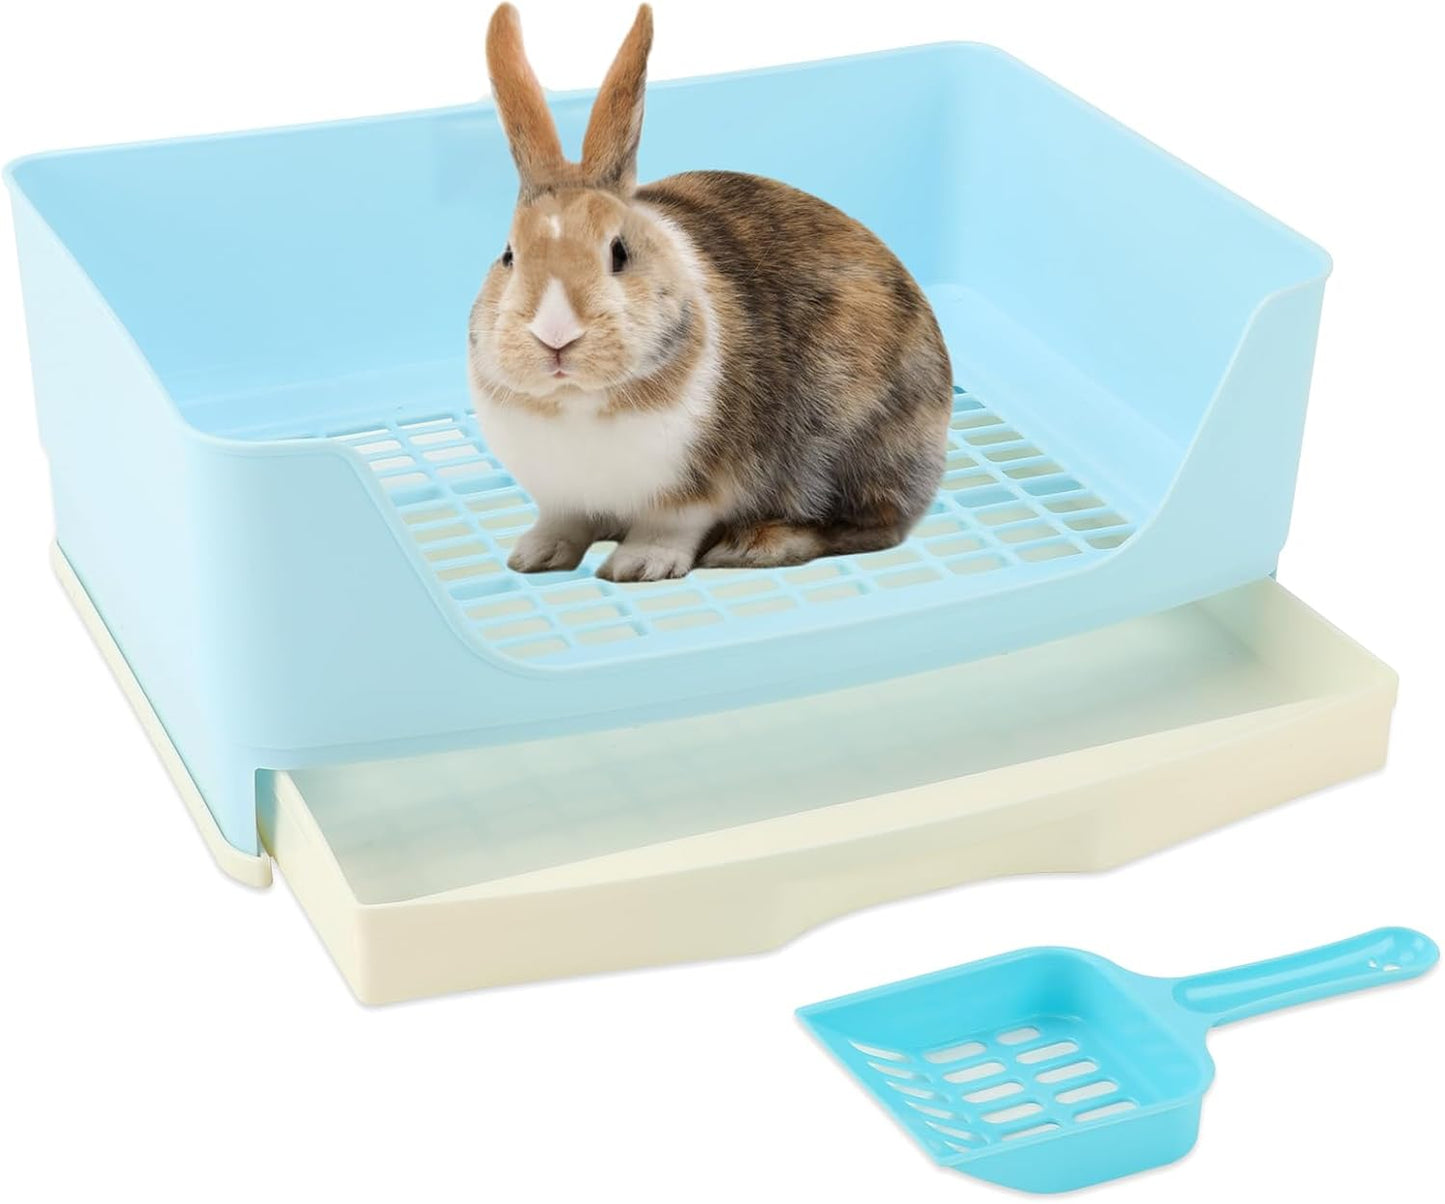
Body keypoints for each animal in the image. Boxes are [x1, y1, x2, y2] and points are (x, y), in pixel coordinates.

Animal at [468, 3, 951, 582]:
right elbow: (564, 522)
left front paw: (637, 567)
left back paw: (753, 545)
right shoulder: (563, 497)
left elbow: (669, 527)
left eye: (619, 253)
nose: (556, 335)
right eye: (509, 255)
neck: (577, 401)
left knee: (869, 527)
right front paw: (535, 556)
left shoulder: (694, 491)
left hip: (854, 445)